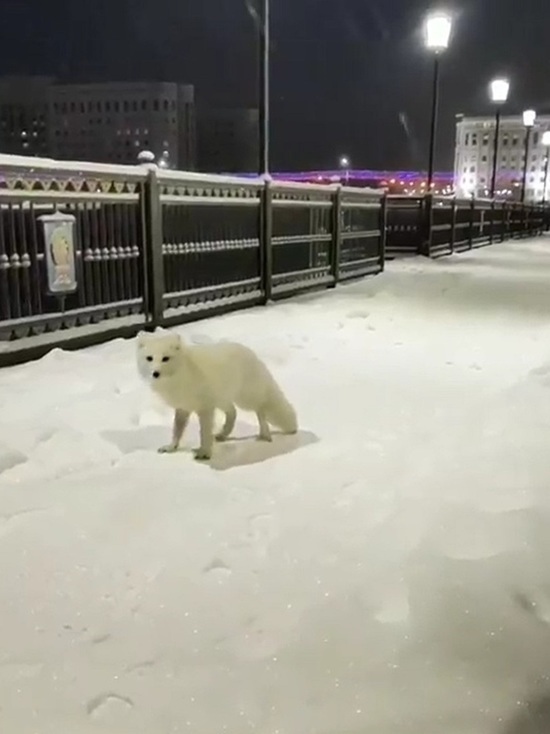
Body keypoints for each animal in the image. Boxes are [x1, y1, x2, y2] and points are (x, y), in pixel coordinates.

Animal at [140, 334, 300, 460]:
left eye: (165, 358)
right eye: (149, 358)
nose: (155, 373)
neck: (182, 373)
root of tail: (251, 353)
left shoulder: (205, 408)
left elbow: (204, 433)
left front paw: (205, 453)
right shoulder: (183, 408)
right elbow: (176, 431)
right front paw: (171, 447)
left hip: (246, 399)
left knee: (260, 410)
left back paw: (265, 435)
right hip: (222, 399)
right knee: (233, 412)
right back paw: (223, 435)